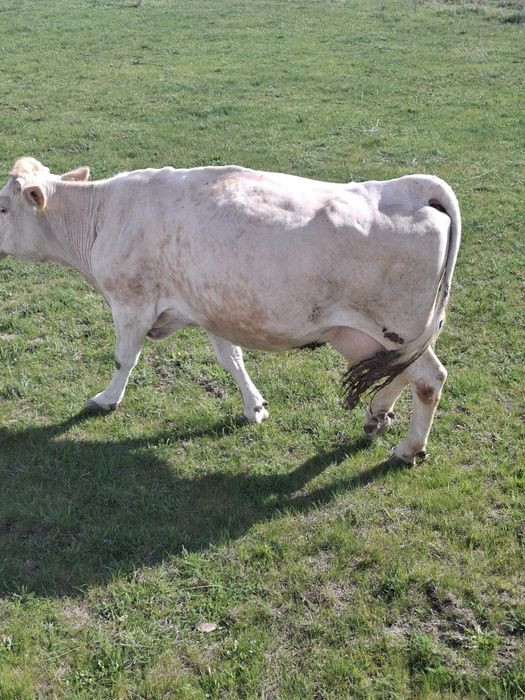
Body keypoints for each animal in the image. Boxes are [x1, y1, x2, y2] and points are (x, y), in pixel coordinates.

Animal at [0, 157, 461, 464]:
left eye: (3, 207)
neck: (102, 215)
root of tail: (411, 187)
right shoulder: (213, 307)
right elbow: (231, 359)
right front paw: (254, 406)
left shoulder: (131, 303)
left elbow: (123, 359)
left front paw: (106, 399)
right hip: (368, 334)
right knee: (398, 371)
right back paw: (377, 414)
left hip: (396, 325)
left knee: (428, 378)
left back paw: (408, 448)